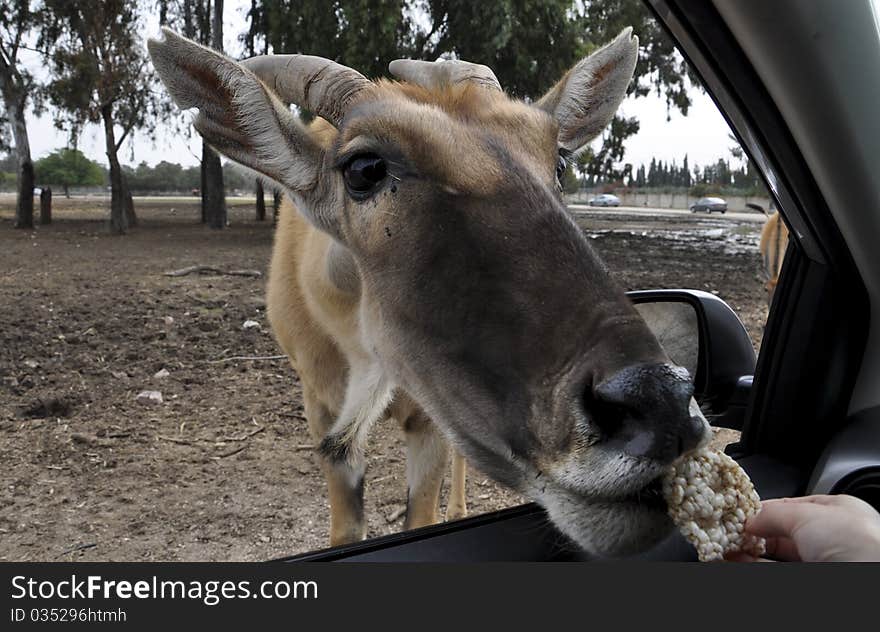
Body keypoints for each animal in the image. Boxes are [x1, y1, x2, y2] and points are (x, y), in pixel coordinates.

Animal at [148, 27, 712, 556]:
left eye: (559, 161)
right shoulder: (322, 414)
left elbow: (421, 515)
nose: (659, 401)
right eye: (364, 168)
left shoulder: (429, 422)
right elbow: (346, 525)